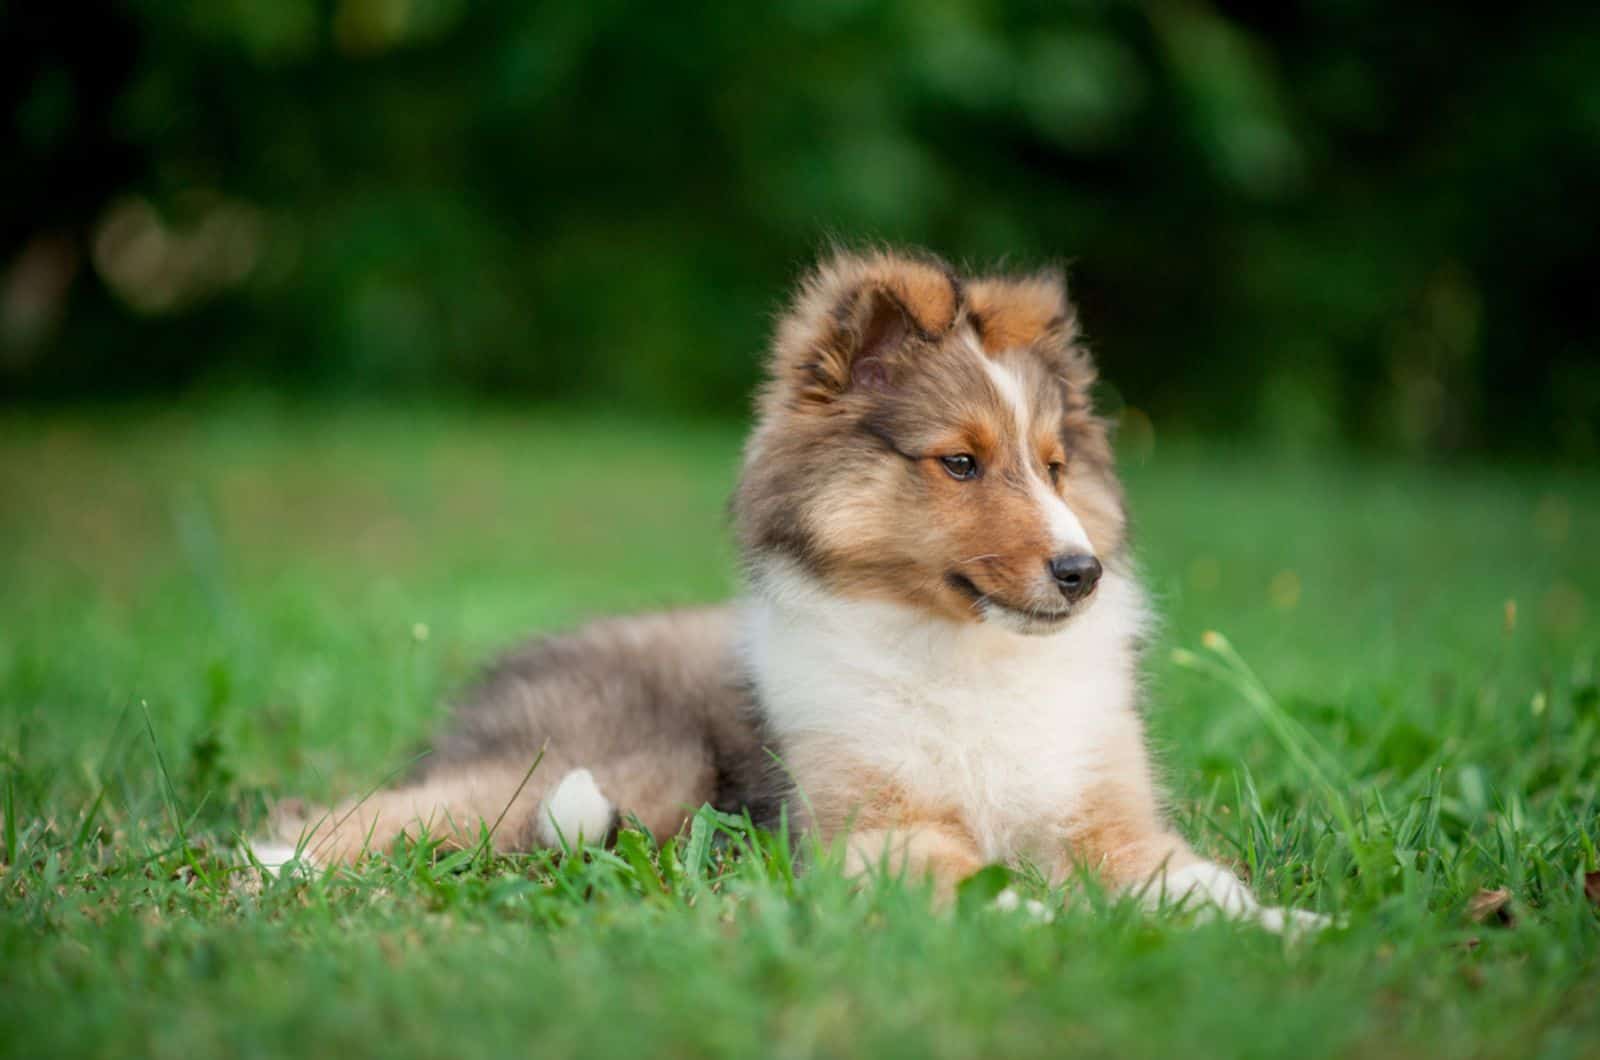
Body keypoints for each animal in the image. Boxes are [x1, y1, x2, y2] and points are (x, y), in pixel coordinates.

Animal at [252, 249, 1324, 928]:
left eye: (1057, 467)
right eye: (961, 463)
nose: (1082, 574)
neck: (966, 654)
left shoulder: (1111, 822)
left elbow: (1206, 889)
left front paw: (1295, 932)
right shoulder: (875, 830)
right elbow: (984, 886)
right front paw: (1055, 924)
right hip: (610, 767)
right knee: (345, 819)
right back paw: (262, 883)